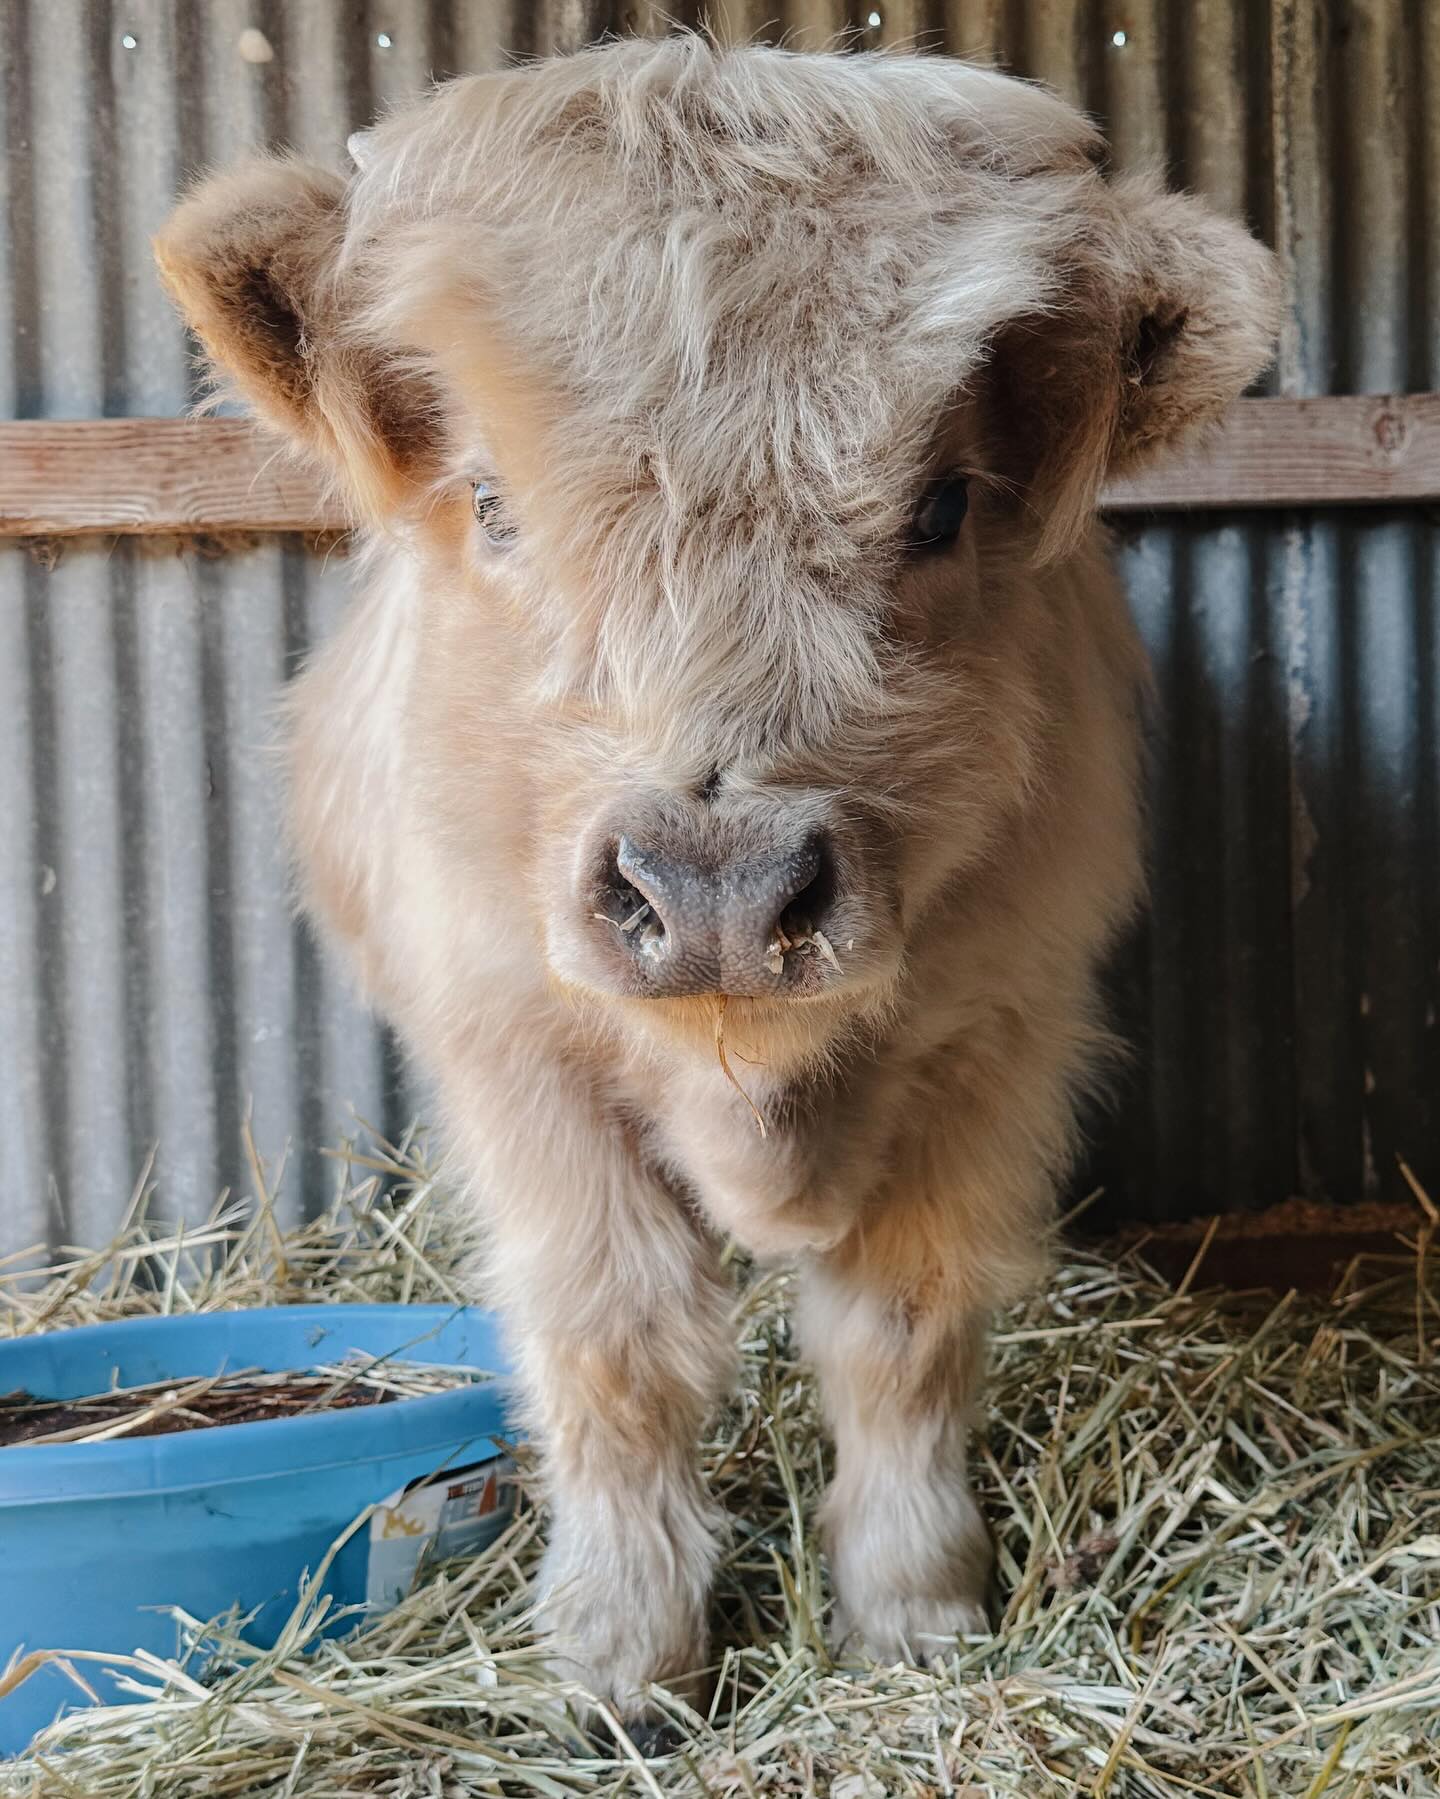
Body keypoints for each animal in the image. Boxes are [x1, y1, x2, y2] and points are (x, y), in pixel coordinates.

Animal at [156, 34, 1278, 1730]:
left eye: (941, 503)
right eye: (496, 503)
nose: (719, 892)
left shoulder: (995, 1041)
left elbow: (903, 1336)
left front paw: (916, 1614)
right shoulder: (514, 1054)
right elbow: (614, 1343)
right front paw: (621, 1657)